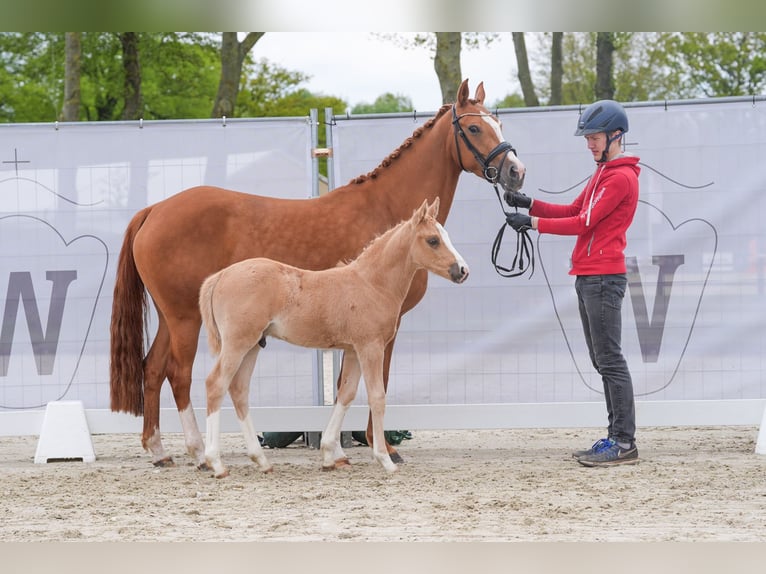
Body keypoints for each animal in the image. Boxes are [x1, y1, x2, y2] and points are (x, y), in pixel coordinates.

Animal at [198, 198, 472, 476]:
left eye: (445, 236)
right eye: (432, 240)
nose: (462, 271)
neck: (371, 284)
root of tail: (220, 276)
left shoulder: (352, 349)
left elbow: (346, 394)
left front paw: (330, 454)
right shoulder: (370, 347)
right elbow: (377, 397)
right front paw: (385, 460)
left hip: (253, 345)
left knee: (239, 390)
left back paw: (261, 461)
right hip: (237, 343)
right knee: (216, 384)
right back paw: (216, 463)